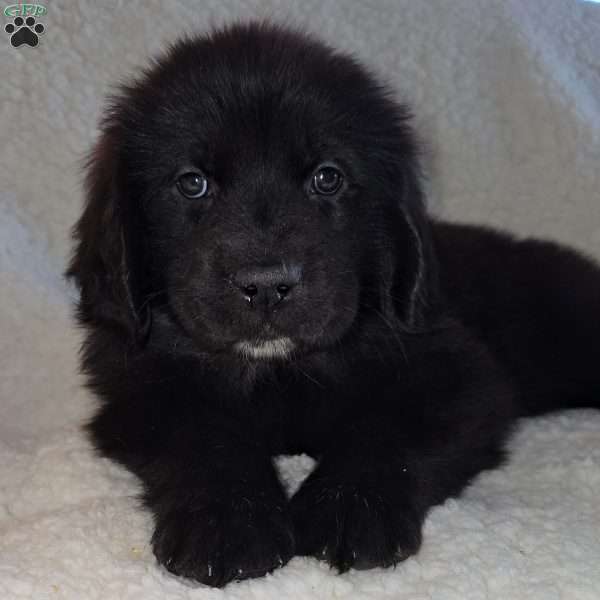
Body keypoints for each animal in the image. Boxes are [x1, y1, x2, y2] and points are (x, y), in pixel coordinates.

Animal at [65, 22, 600, 584]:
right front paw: (226, 523)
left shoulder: (459, 375)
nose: (266, 284)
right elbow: (204, 436)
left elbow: (388, 429)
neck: (279, 373)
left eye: (328, 177)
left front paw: (348, 509)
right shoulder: (140, 388)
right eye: (192, 183)